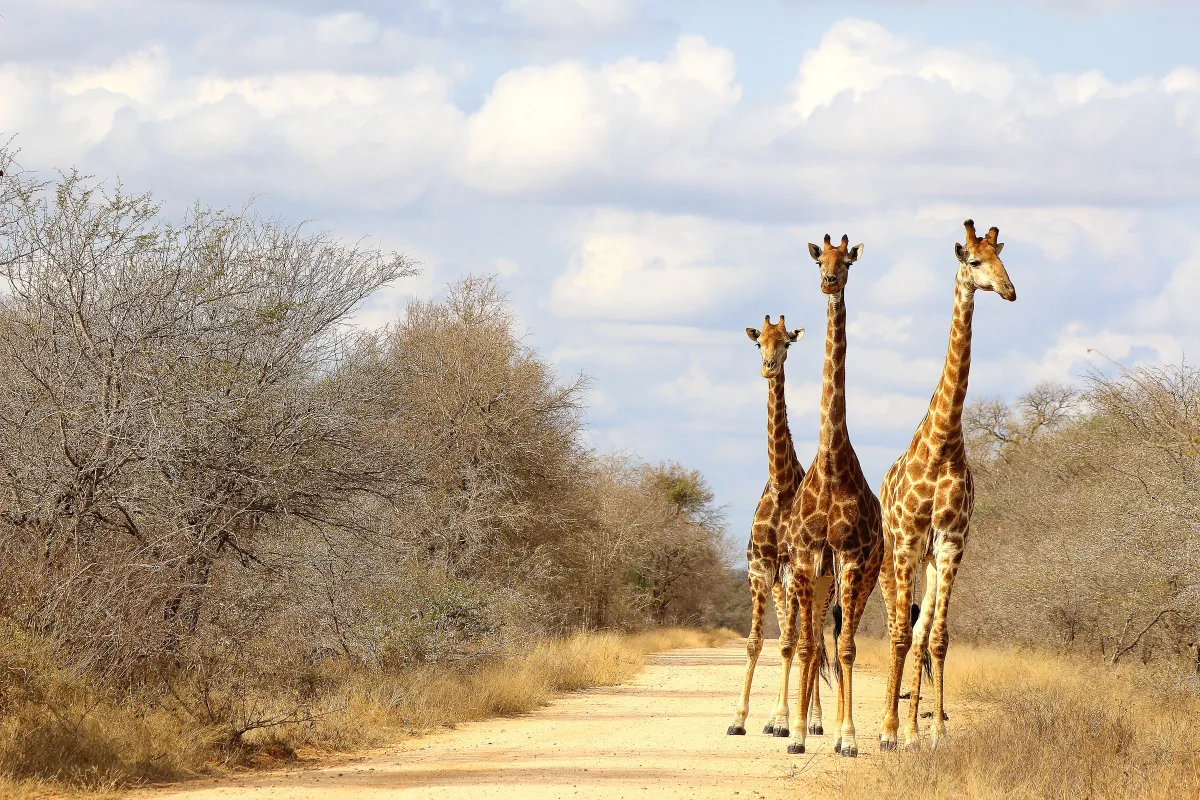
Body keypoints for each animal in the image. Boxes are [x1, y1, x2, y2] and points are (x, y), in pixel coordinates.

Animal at [876, 220, 1016, 751]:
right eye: (974, 261)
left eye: (1002, 257)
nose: (1009, 290)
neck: (942, 443)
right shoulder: (910, 540)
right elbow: (900, 633)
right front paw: (889, 733)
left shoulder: (952, 543)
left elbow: (937, 636)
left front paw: (932, 733)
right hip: (894, 555)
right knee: (895, 626)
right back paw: (890, 727)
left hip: (931, 560)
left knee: (918, 632)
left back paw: (914, 729)